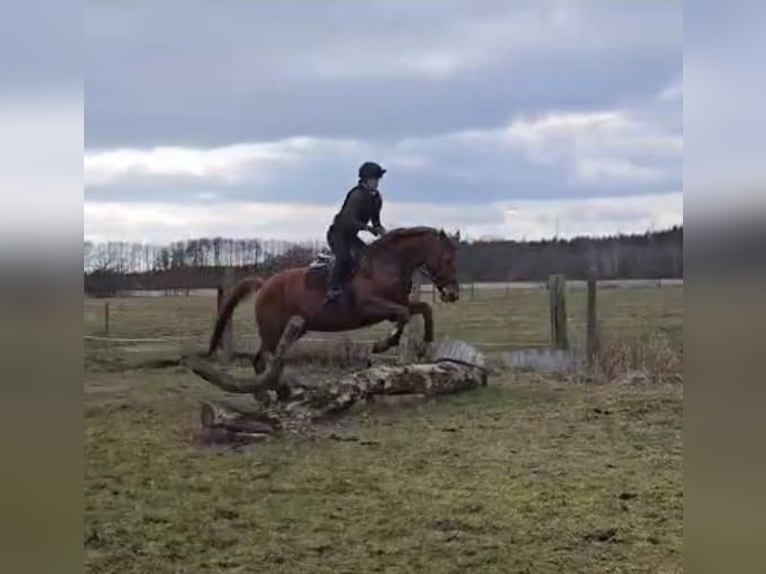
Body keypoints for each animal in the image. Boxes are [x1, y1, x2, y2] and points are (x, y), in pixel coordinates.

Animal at [206, 227, 462, 398]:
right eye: (447, 259)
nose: (453, 294)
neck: (387, 265)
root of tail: (264, 284)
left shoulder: (396, 306)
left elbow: (423, 310)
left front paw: (425, 345)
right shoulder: (371, 307)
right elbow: (404, 315)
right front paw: (381, 346)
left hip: (294, 329)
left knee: (267, 359)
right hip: (272, 330)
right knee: (261, 359)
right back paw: (266, 394)